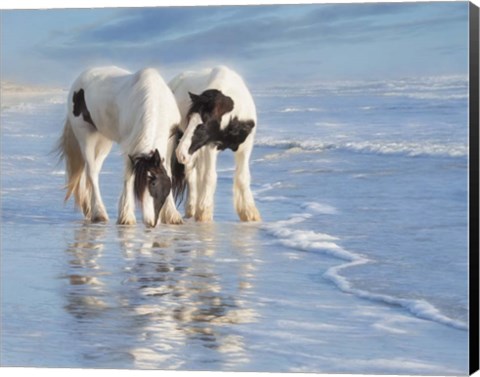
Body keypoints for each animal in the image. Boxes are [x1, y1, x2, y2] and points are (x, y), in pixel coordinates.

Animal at [56, 66, 184, 226]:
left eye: (155, 183)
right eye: (148, 184)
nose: (151, 221)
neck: (156, 101)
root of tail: (81, 78)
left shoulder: (169, 141)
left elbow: (169, 172)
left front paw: (173, 215)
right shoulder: (130, 145)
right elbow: (128, 177)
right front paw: (126, 216)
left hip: (103, 141)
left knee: (94, 170)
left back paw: (90, 209)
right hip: (85, 136)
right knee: (92, 172)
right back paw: (99, 212)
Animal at [168, 66, 260, 222]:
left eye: (203, 123)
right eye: (189, 119)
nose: (180, 153)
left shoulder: (245, 146)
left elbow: (243, 177)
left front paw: (249, 213)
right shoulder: (210, 146)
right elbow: (210, 177)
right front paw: (204, 212)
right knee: (190, 173)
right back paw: (191, 208)